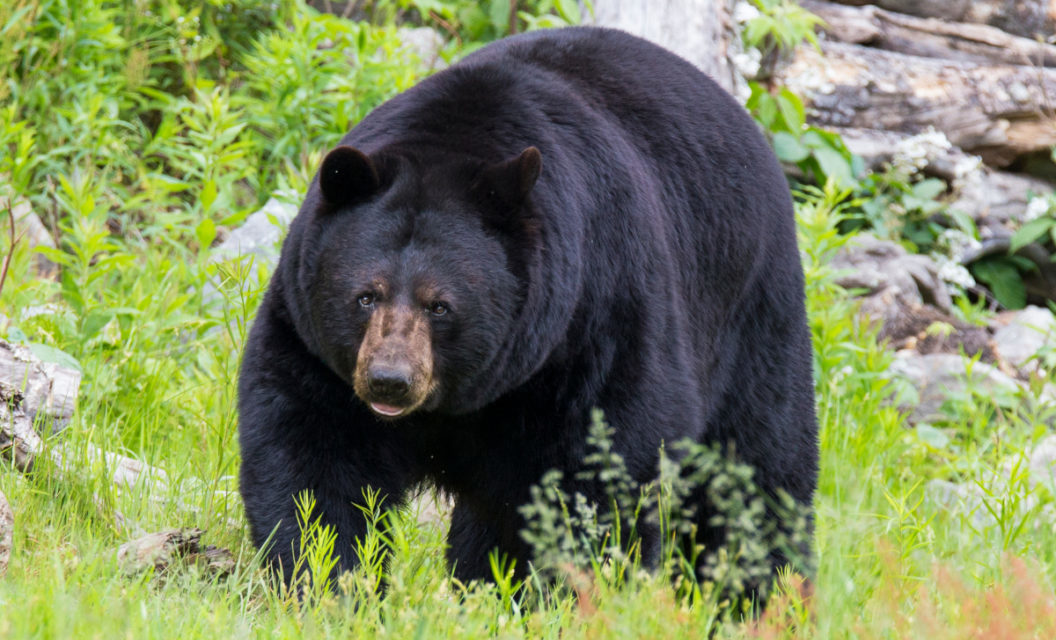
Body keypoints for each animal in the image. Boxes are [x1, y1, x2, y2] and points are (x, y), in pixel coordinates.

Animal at [239, 25, 815, 595]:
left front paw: (558, 587)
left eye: (440, 306)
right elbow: (314, 457)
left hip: (751, 310)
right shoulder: (312, 339)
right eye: (365, 295)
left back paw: (759, 589)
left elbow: (599, 466)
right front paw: (327, 579)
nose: (390, 381)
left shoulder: (595, 321)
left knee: (758, 467)